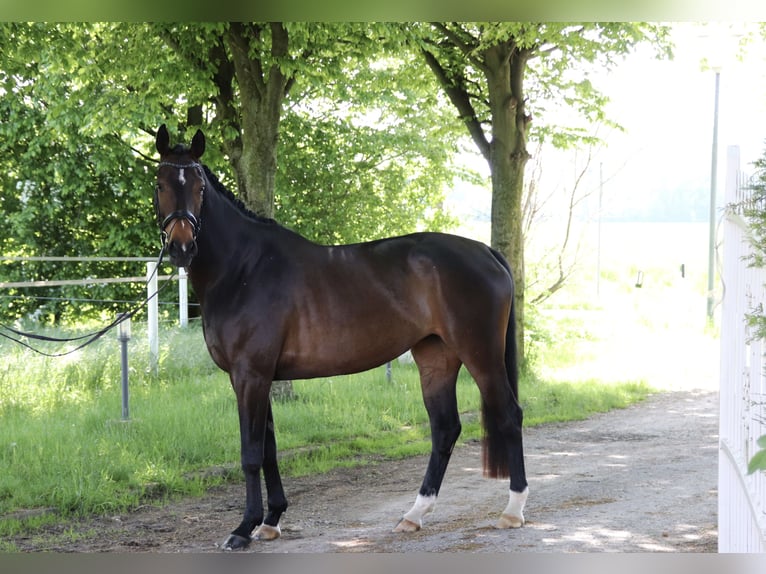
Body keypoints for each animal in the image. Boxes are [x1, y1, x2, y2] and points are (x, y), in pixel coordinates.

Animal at [154, 126, 532, 552]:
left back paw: (512, 510)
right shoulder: (258, 377)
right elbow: (268, 449)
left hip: (480, 354)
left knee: (509, 415)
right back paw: (414, 515)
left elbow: (251, 453)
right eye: (161, 182)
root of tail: (486, 251)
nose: (181, 247)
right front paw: (271, 520)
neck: (243, 269)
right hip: (436, 357)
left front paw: (243, 527)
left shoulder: (249, 375)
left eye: (199, 186)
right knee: (445, 428)